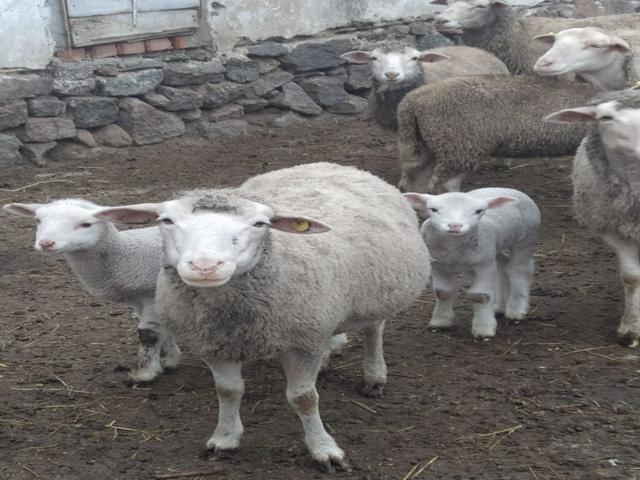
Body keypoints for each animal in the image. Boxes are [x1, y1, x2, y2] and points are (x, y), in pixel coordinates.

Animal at [2, 199, 180, 383]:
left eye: (86, 224)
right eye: (38, 220)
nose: (46, 243)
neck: (126, 255)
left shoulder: (151, 293)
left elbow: (148, 333)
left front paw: (144, 373)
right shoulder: (143, 299)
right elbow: (165, 328)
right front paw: (170, 360)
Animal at [93, 162, 431, 472]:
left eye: (259, 224)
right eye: (167, 221)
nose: (205, 266)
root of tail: (332, 164)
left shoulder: (303, 342)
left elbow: (304, 398)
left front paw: (324, 449)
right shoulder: (214, 344)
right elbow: (228, 391)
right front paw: (225, 439)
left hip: (378, 291)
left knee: (374, 330)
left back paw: (374, 376)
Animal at [403, 188, 540, 338]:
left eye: (479, 211)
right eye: (433, 209)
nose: (455, 225)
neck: (454, 251)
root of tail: (506, 189)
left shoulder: (483, 266)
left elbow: (480, 296)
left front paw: (484, 328)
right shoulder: (439, 265)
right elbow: (442, 292)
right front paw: (441, 321)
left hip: (525, 239)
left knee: (519, 270)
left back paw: (516, 310)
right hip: (492, 249)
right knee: (501, 265)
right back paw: (498, 307)